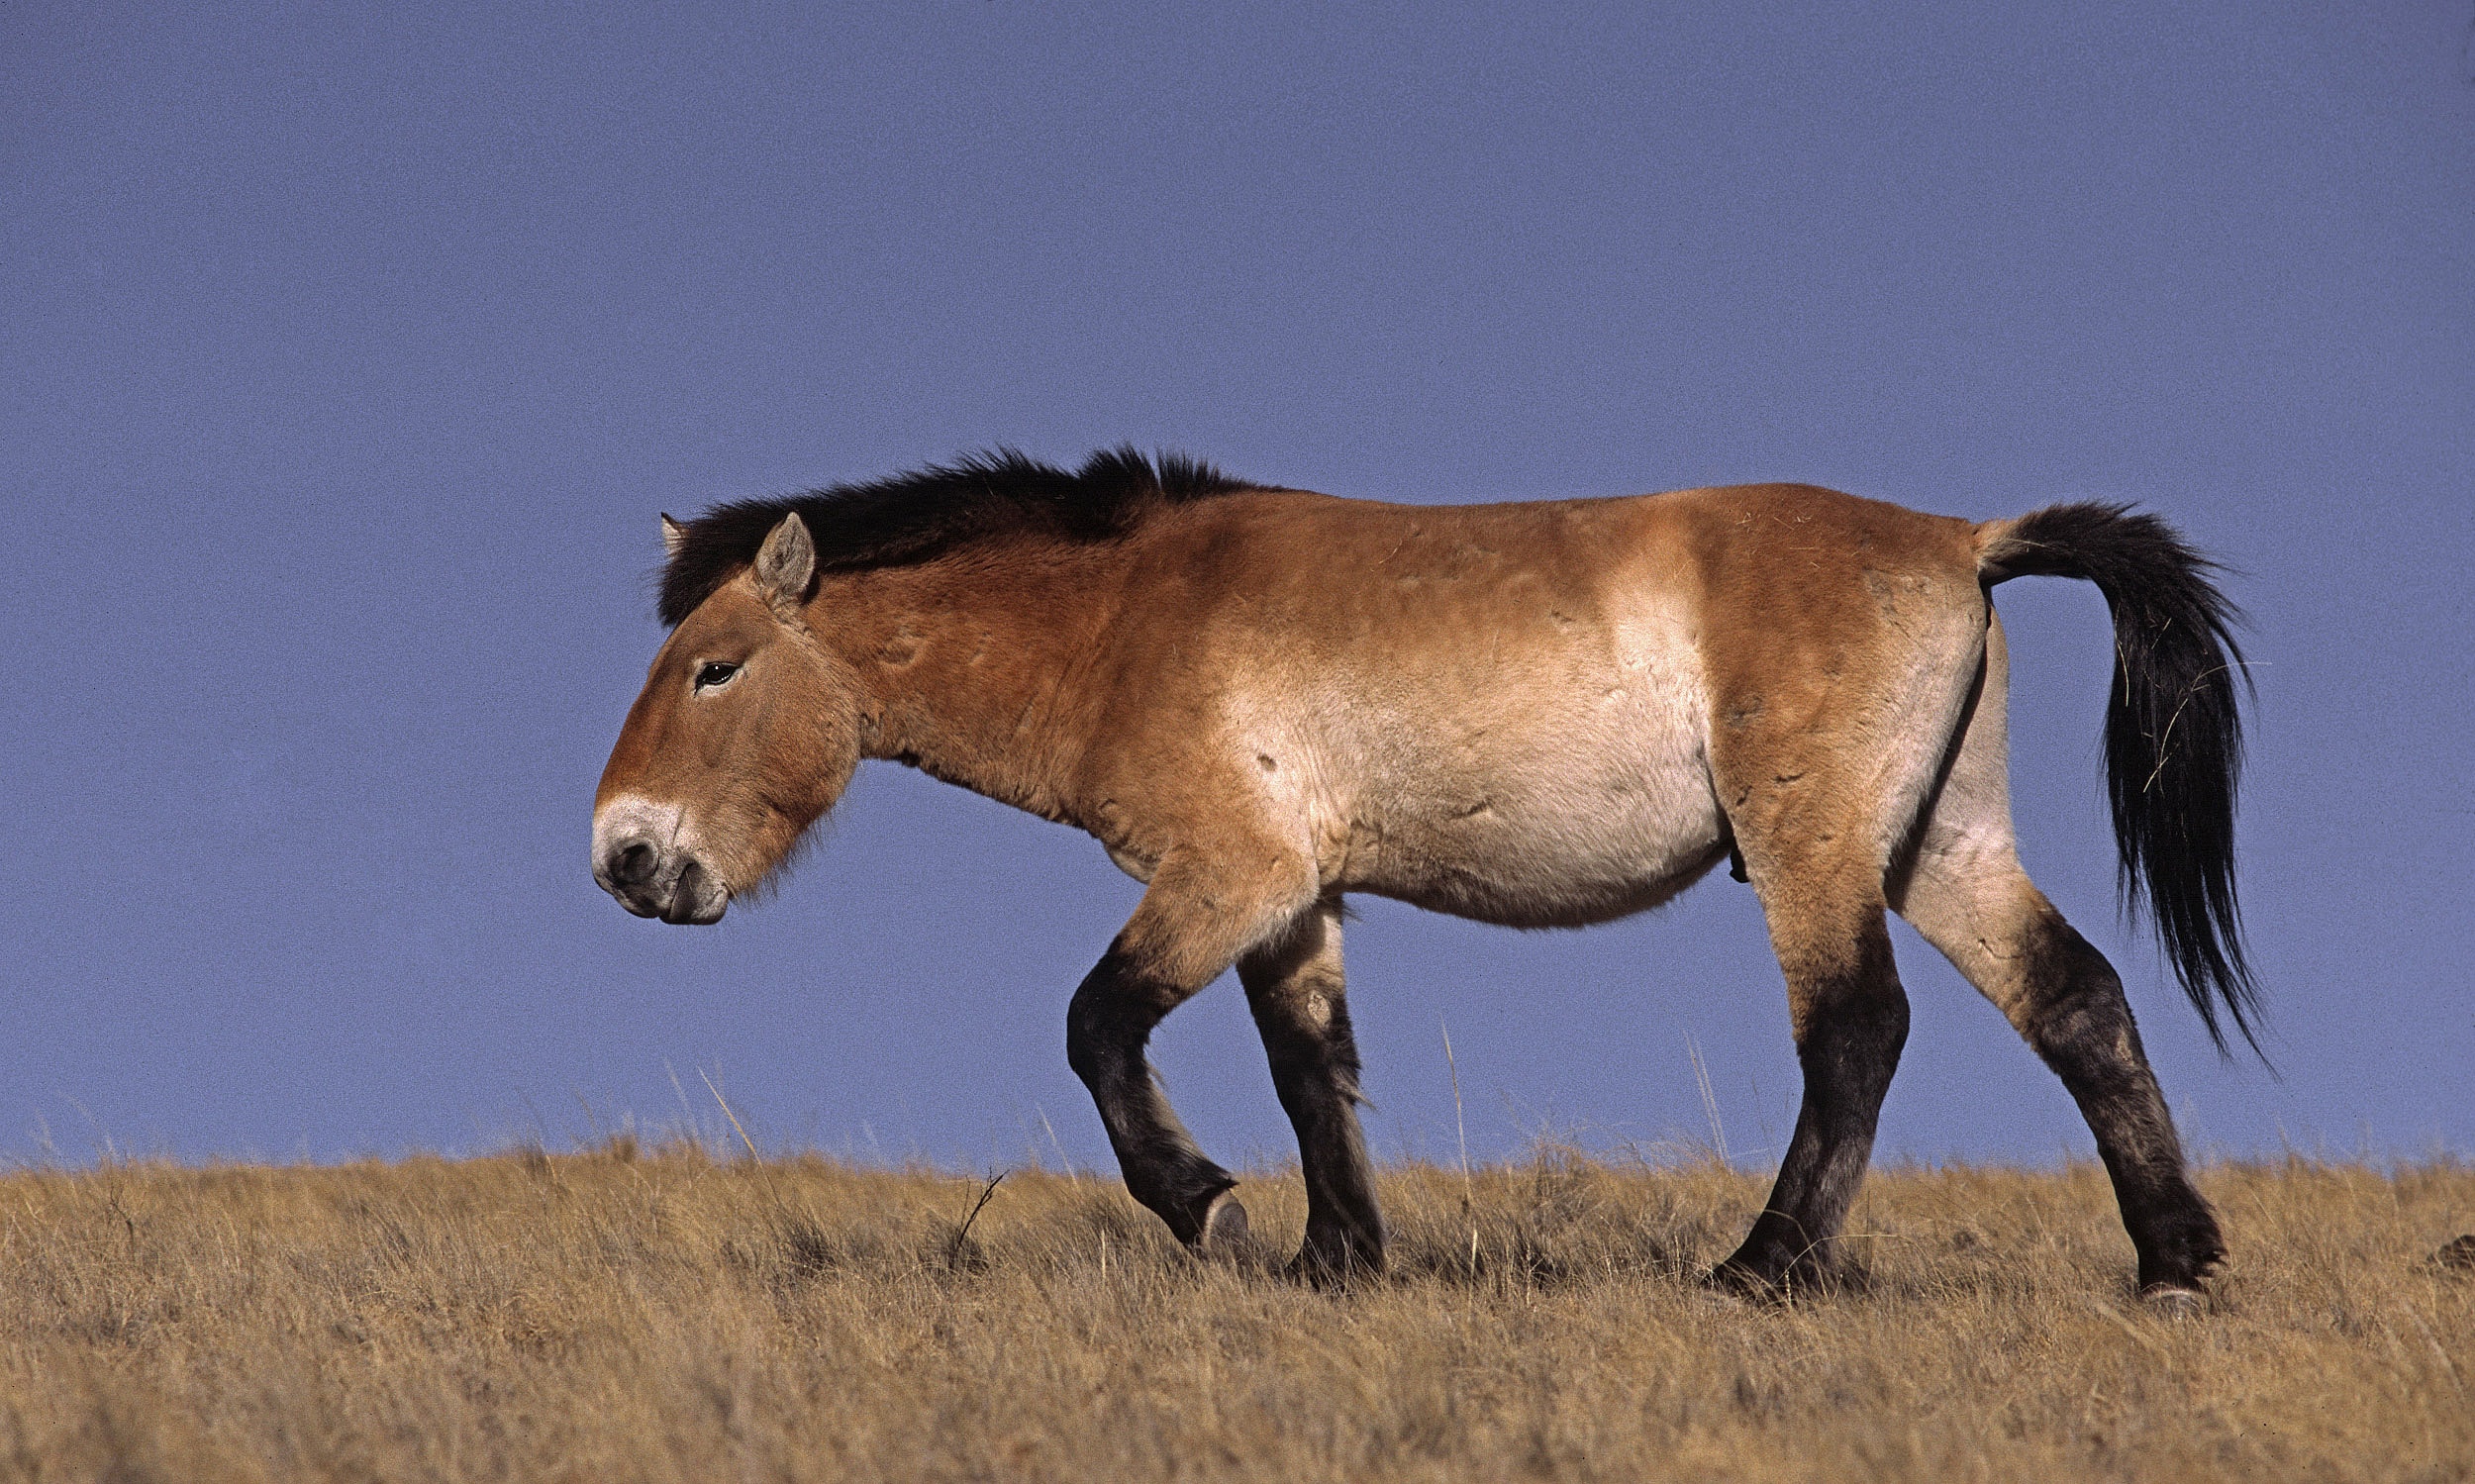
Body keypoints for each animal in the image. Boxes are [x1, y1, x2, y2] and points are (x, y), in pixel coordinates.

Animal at [589, 449, 2257, 1296]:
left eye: (715, 664)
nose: (624, 855)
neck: (1133, 616)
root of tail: (1963, 537)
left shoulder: (1227, 873)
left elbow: (1096, 1025)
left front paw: (1204, 1206)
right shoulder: (1295, 900)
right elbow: (1310, 1067)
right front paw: (1338, 1255)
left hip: (1817, 847)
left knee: (1858, 1029)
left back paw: (1762, 1265)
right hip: (1939, 845)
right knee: (2077, 999)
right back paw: (2174, 1260)